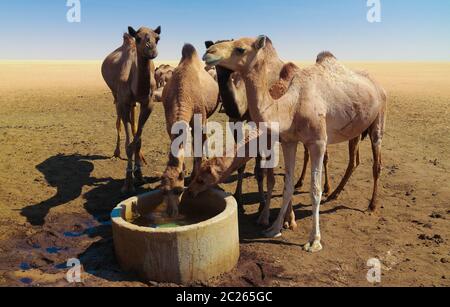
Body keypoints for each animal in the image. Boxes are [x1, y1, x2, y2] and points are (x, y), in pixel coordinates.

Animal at [101, 27, 161, 195]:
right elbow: (129, 145)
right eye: (138, 38)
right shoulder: (123, 102)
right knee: (119, 122)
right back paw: (116, 153)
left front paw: (139, 174)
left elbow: (138, 141)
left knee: (133, 125)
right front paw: (128, 183)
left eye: (157, 38)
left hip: (133, 104)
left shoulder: (148, 104)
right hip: (116, 96)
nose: (151, 49)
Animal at [160, 44, 220, 217]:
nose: (171, 213)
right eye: (163, 191)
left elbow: (199, 144)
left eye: (178, 190)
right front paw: (185, 169)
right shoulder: (170, 121)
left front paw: (195, 173)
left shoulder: (201, 116)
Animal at [204, 36, 386, 253]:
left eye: (240, 49)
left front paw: (314, 241)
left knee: (376, 163)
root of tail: (378, 84)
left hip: (379, 118)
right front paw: (274, 228)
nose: (208, 53)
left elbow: (315, 190)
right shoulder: (289, 141)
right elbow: (287, 185)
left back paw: (372, 205)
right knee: (355, 160)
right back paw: (335, 193)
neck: (292, 105)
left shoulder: (318, 142)